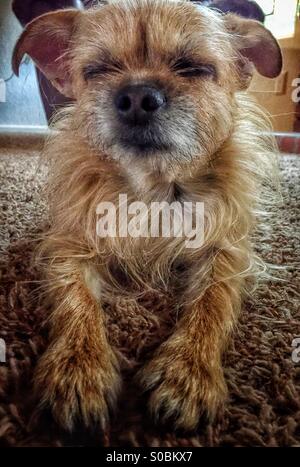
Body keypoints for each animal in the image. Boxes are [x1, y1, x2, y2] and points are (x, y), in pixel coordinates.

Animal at [13, 0, 282, 432]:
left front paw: (188, 372)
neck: (152, 189)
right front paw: (78, 368)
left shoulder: (227, 253)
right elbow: (77, 300)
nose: (137, 95)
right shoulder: (69, 248)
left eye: (192, 68)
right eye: (98, 70)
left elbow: (212, 303)